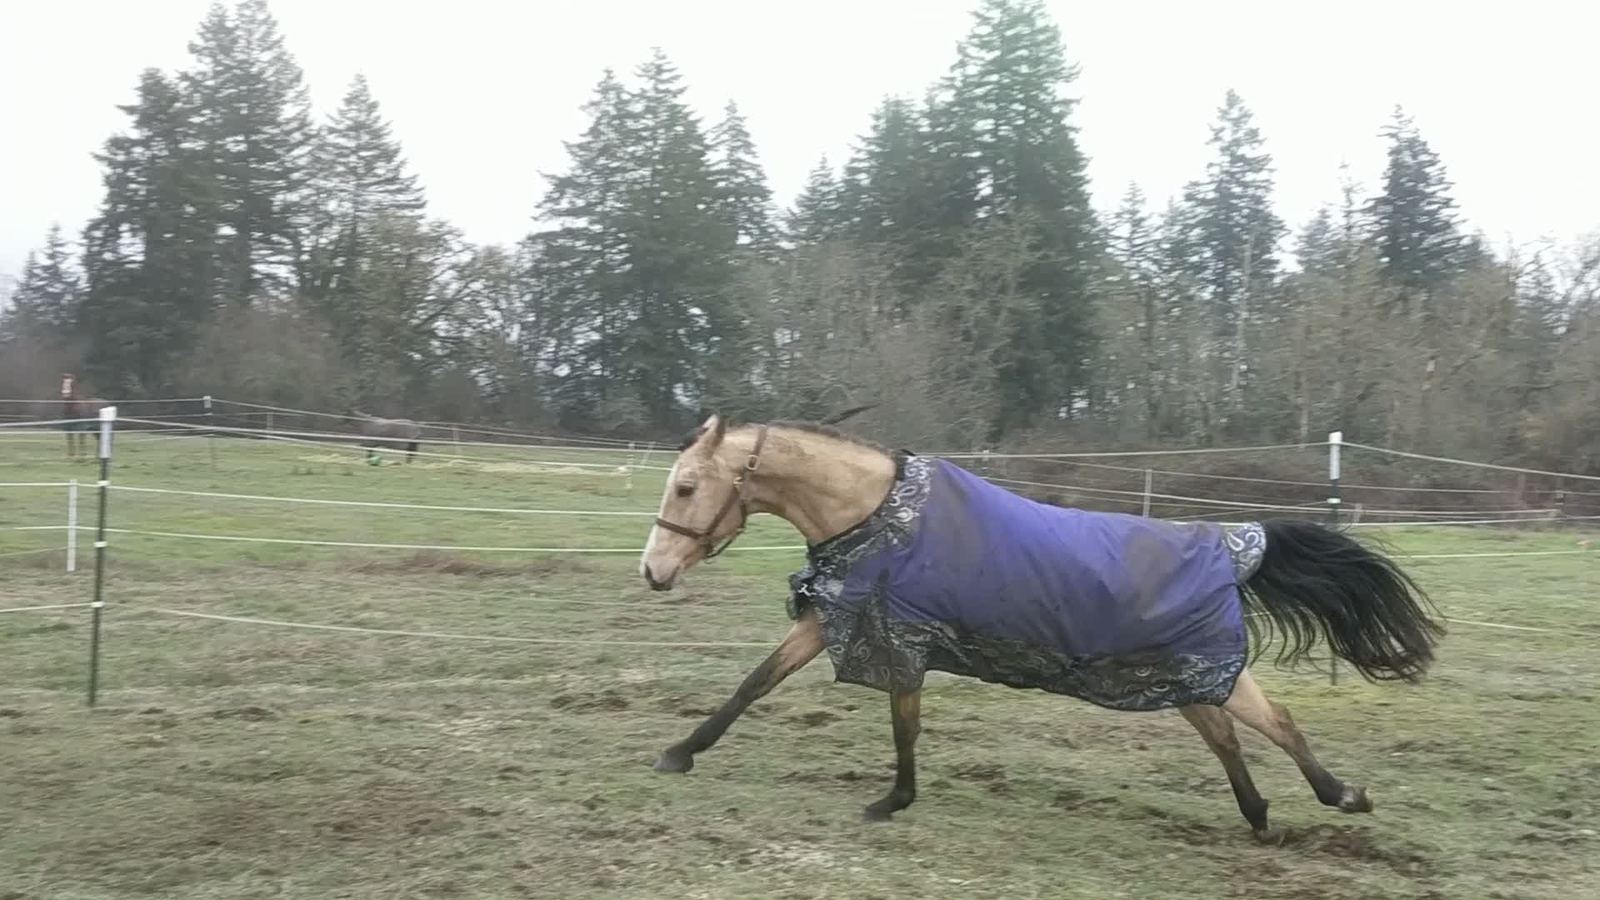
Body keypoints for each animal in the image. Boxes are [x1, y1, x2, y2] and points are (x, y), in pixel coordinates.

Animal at [638, 415, 1443, 842]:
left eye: (686, 486)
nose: (653, 571)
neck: (877, 515)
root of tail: (1229, 545)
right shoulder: (843, 622)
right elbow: (755, 684)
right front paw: (679, 753)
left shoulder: (899, 639)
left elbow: (903, 725)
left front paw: (891, 801)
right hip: (1182, 680)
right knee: (1227, 738)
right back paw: (1261, 816)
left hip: (1205, 671)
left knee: (1276, 723)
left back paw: (1341, 796)